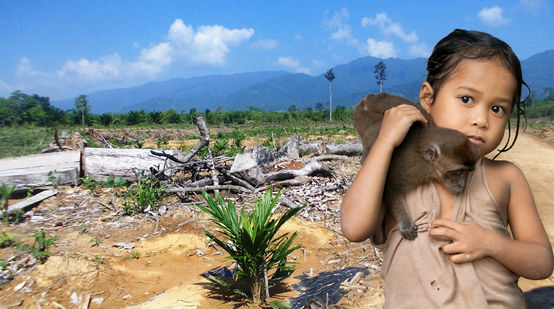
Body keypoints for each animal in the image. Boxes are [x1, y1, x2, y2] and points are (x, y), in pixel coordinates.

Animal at [354, 92, 478, 239]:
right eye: (458, 171)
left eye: (468, 171)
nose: (461, 185)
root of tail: (369, 98)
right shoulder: (411, 167)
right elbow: (389, 185)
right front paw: (405, 223)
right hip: (362, 119)